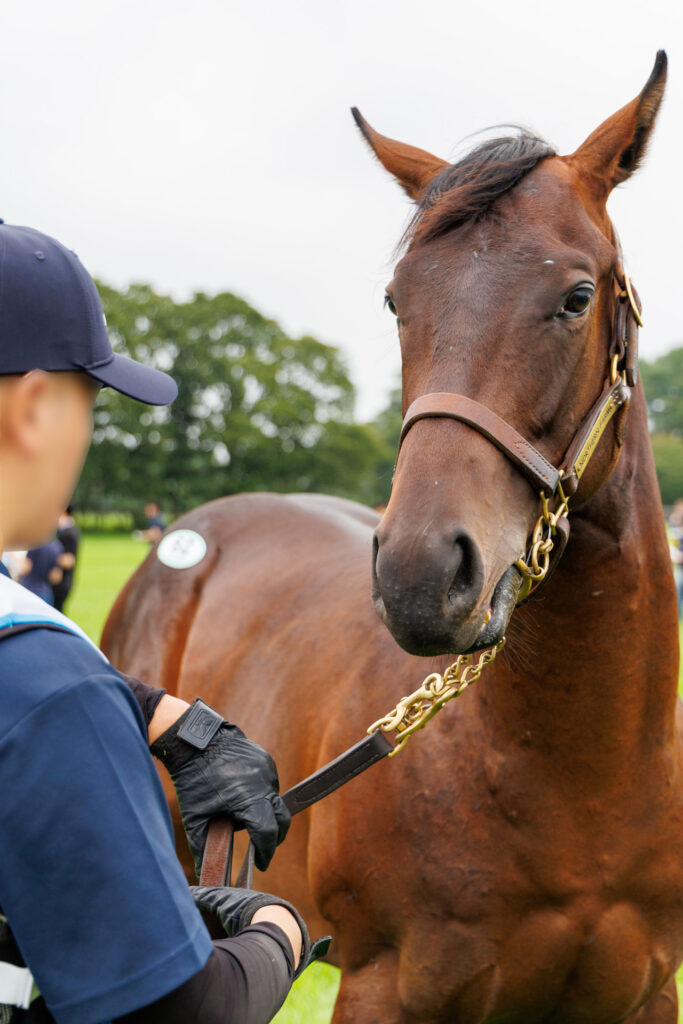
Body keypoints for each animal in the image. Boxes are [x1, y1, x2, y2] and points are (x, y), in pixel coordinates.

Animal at [102, 52, 683, 1023]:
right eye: (394, 300)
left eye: (574, 297)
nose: (419, 575)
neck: (585, 782)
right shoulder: (383, 990)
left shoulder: (640, 995)